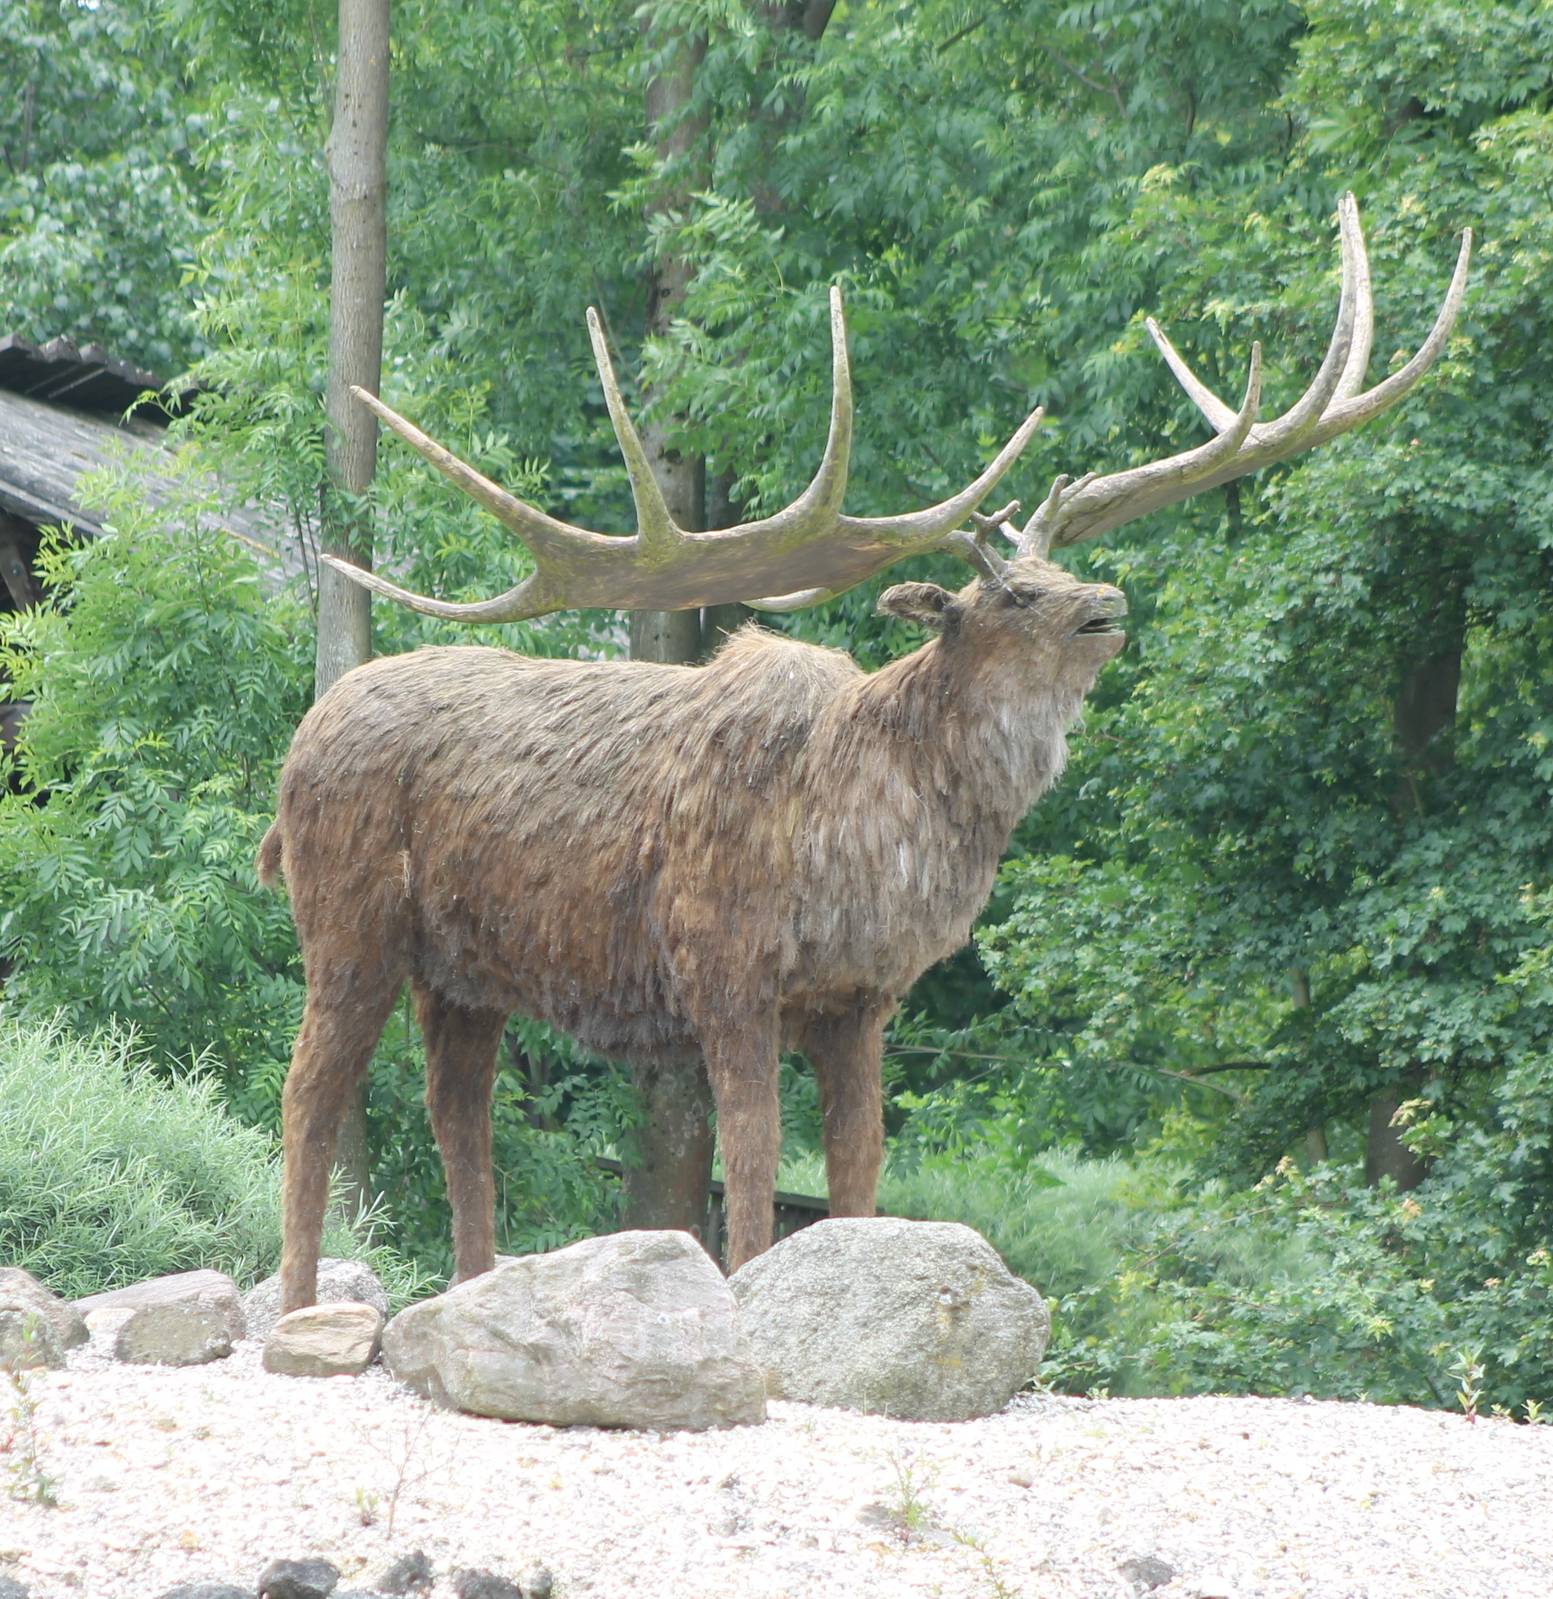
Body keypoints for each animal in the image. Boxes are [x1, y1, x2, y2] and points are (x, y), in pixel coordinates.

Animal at [261, 195, 1469, 1312]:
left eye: (1054, 571)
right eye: (1010, 593)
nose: (1106, 605)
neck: (871, 835)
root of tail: (293, 758)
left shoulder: (862, 1000)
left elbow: (857, 1171)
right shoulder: (724, 967)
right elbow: (752, 1168)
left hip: (466, 975)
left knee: (455, 1115)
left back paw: (465, 1289)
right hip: (350, 921)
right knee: (307, 1093)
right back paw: (301, 1309)